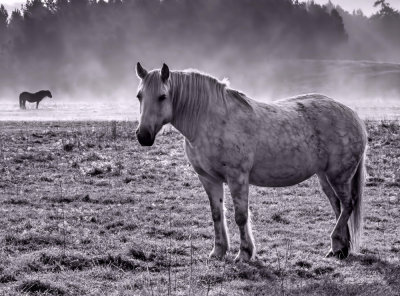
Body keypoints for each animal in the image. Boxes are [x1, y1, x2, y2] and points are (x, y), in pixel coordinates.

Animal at [136, 63, 368, 262]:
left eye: (162, 96)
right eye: (139, 96)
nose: (143, 136)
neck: (208, 120)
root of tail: (353, 116)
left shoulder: (237, 177)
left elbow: (240, 216)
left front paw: (244, 253)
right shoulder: (209, 179)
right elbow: (216, 214)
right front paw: (218, 251)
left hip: (339, 176)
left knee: (347, 205)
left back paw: (336, 244)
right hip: (324, 177)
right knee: (337, 206)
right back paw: (339, 249)